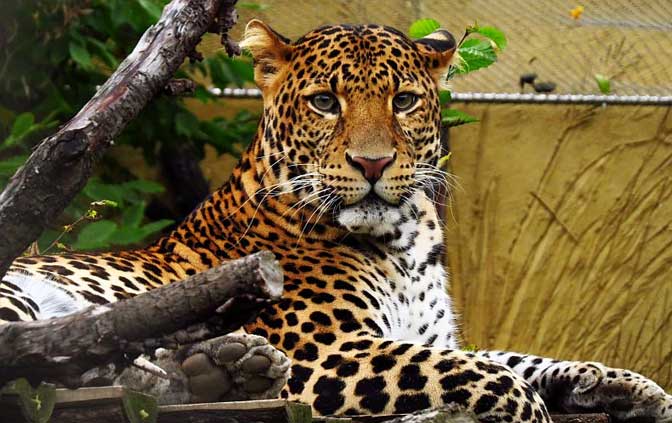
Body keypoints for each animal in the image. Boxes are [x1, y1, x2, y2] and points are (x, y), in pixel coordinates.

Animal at [1, 20, 671, 422]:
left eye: (404, 100)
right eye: (325, 102)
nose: (372, 163)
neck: (404, 240)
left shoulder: (433, 333)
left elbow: (515, 357)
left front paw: (628, 386)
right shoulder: (326, 351)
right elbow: (485, 373)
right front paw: (534, 409)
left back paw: (218, 369)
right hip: (21, 296)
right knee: (36, 369)